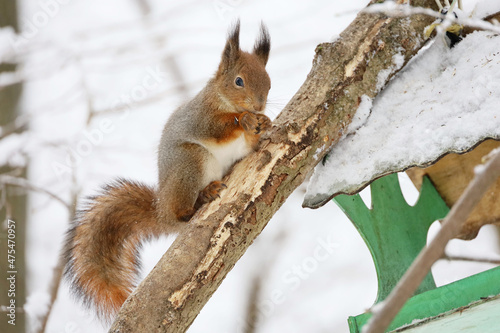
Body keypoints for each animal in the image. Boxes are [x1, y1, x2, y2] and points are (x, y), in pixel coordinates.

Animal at [65, 20, 274, 320]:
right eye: (239, 81)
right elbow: (219, 126)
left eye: (268, 82)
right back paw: (201, 197)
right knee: (182, 213)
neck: (221, 98)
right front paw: (244, 119)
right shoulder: (200, 117)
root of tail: (161, 207)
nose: (258, 105)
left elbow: (250, 144)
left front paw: (263, 121)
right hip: (190, 163)